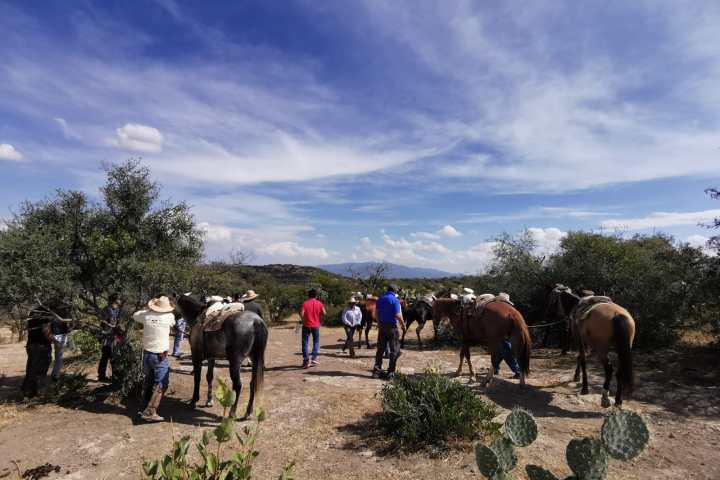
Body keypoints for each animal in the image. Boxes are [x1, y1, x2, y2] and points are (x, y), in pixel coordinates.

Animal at [176, 292, 268, 420]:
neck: (197, 317)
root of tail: (256, 322)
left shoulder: (196, 355)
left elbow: (197, 378)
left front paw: (194, 401)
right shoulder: (211, 357)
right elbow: (209, 376)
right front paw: (209, 401)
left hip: (235, 362)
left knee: (238, 385)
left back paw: (232, 413)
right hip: (255, 359)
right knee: (253, 384)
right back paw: (248, 412)